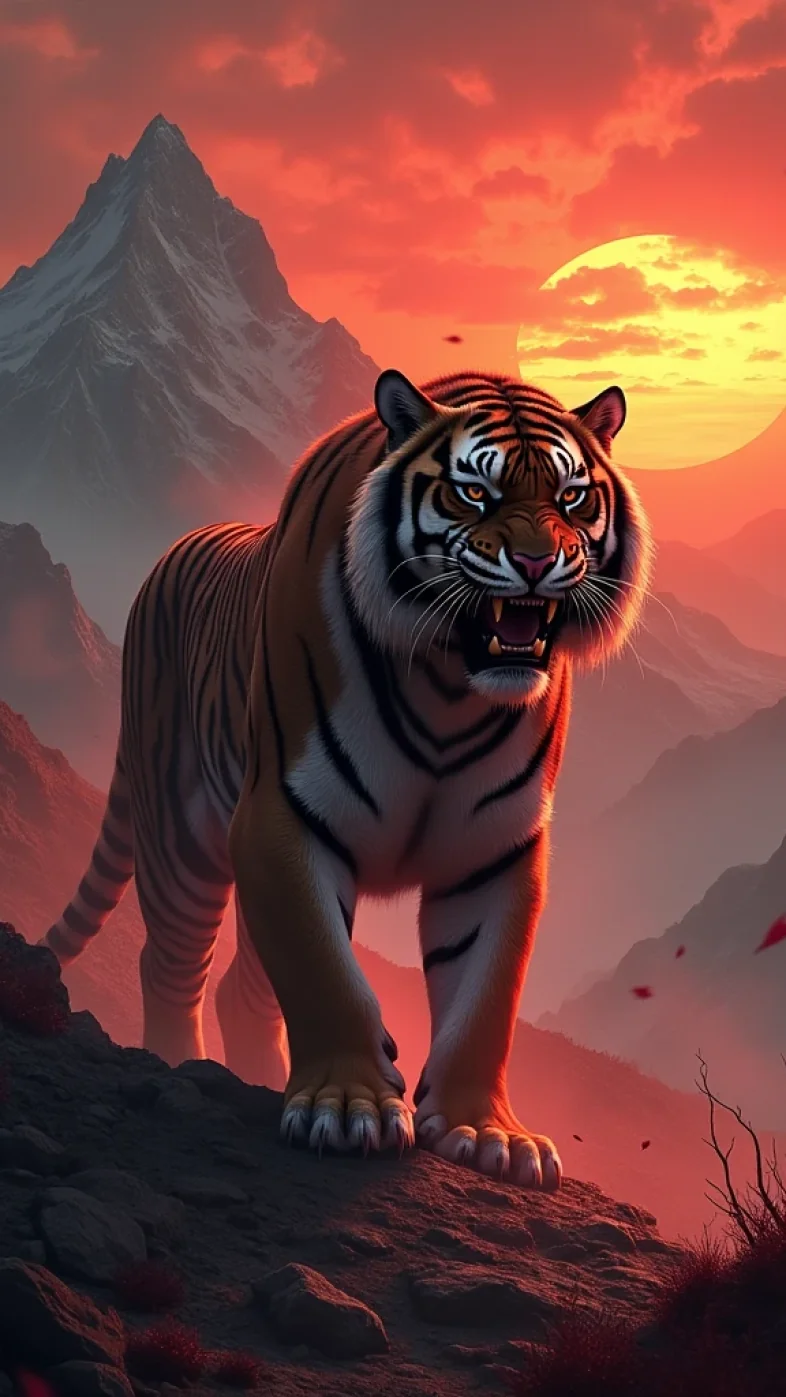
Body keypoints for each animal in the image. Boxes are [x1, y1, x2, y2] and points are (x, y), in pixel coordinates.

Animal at [41, 369, 651, 1191]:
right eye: (475, 494)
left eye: (572, 498)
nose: (534, 563)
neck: (449, 687)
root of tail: (176, 548)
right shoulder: (280, 819)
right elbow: (323, 969)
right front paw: (345, 1106)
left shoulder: (497, 850)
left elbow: (486, 996)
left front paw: (486, 1131)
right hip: (179, 839)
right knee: (170, 964)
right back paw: (177, 1064)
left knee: (240, 989)